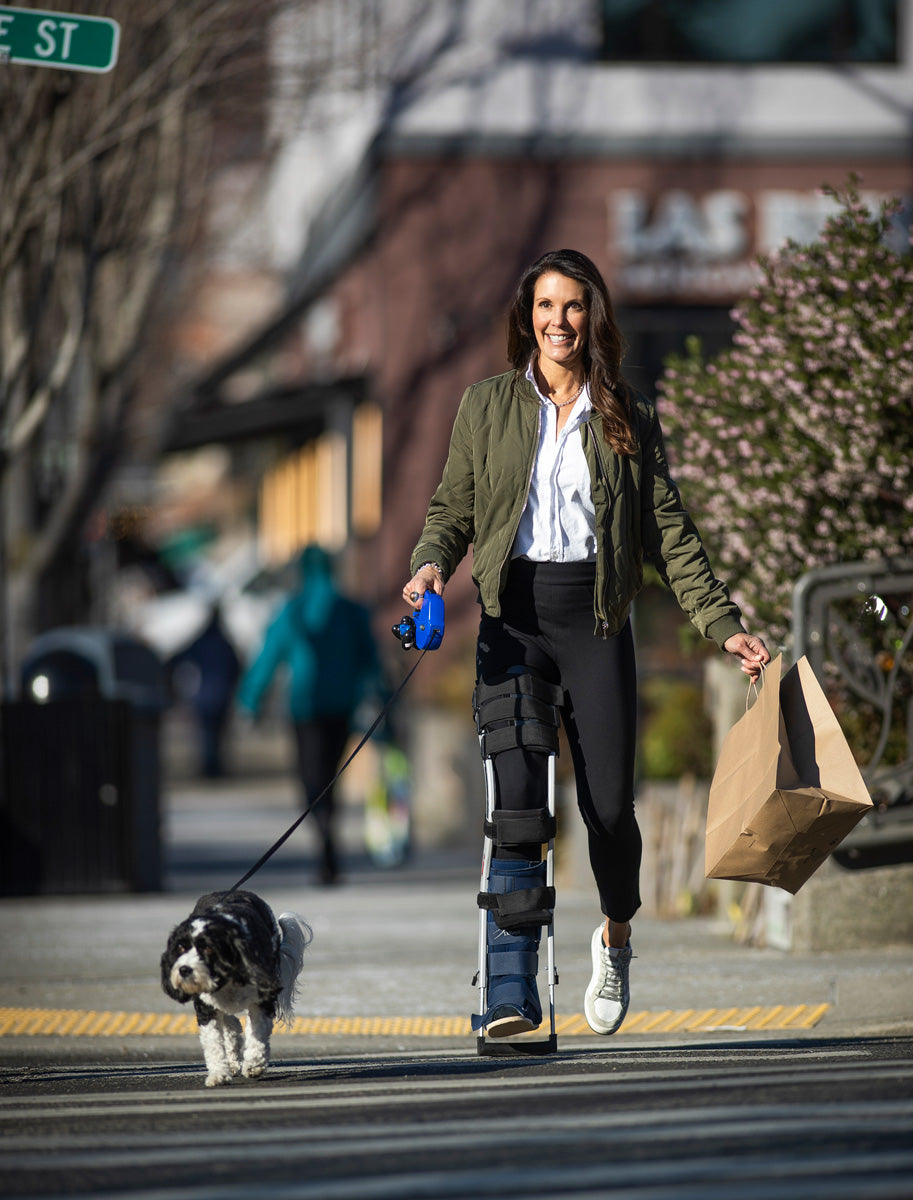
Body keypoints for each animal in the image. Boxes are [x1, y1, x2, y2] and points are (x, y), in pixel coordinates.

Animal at [160, 892, 309, 1089]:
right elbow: (213, 1042)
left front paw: (254, 1064)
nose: (184, 970)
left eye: (208, 948)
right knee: (229, 1023)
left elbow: (257, 1032)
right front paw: (218, 1074)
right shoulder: (206, 1009)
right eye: (180, 947)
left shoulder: (262, 999)